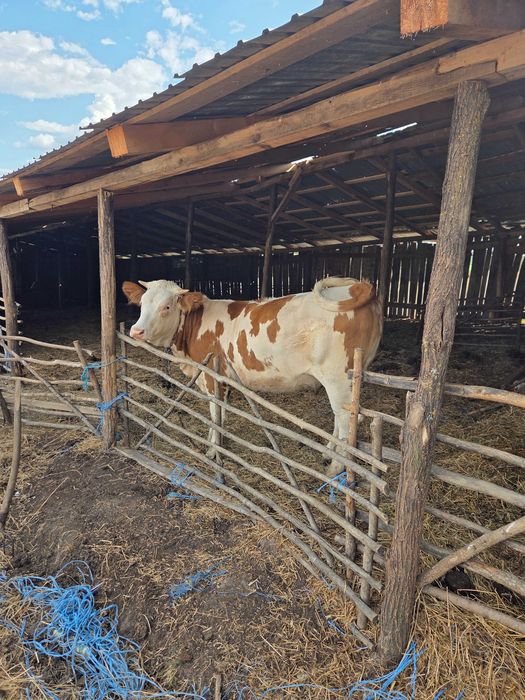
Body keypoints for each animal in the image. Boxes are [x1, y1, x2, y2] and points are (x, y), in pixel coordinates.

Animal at [122, 277, 383, 475]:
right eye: (142, 304)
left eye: (166, 307)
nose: (136, 331)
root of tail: (357, 286)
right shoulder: (224, 378)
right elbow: (221, 412)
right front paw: (218, 442)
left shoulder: (210, 375)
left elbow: (214, 411)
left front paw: (213, 450)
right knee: (341, 419)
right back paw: (328, 454)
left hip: (338, 377)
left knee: (347, 420)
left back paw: (334, 469)